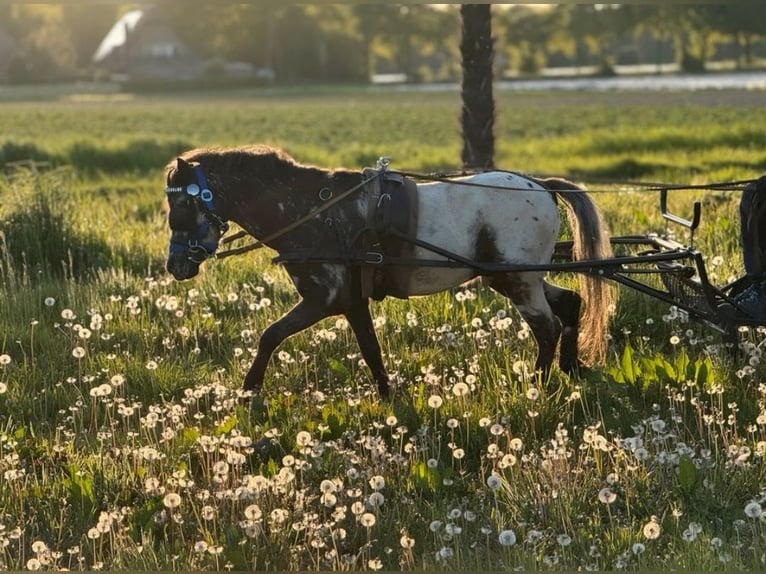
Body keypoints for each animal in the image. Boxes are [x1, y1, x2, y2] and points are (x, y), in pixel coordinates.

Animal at [164, 145, 614, 397]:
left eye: (181, 204)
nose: (175, 265)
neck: (315, 211)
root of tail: (541, 186)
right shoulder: (351, 301)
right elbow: (370, 349)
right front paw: (386, 394)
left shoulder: (325, 299)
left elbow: (270, 335)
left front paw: (249, 389)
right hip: (517, 278)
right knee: (570, 304)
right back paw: (571, 368)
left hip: (516, 279)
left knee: (547, 327)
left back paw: (536, 386)